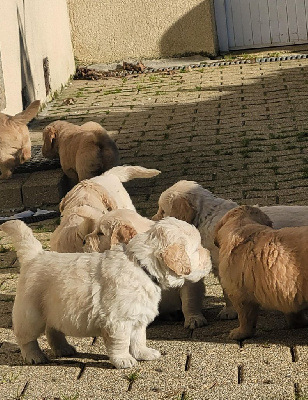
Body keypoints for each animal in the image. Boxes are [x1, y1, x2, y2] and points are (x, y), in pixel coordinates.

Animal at [0, 219, 212, 368]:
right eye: (197, 249)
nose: (210, 255)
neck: (141, 267)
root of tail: (35, 256)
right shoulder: (118, 321)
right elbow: (121, 342)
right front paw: (124, 360)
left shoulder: (137, 317)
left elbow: (139, 338)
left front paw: (143, 353)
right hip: (30, 313)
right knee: (26, 338)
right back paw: (34, 356)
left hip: (55, 308)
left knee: (53, 330)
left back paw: (64, 349)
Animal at [214, 206, 308, 340]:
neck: (242, 225)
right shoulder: (287, 291)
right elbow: (294, 310)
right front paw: (300, 323)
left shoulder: (239, 294)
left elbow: (245, 317)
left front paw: (240, 333)